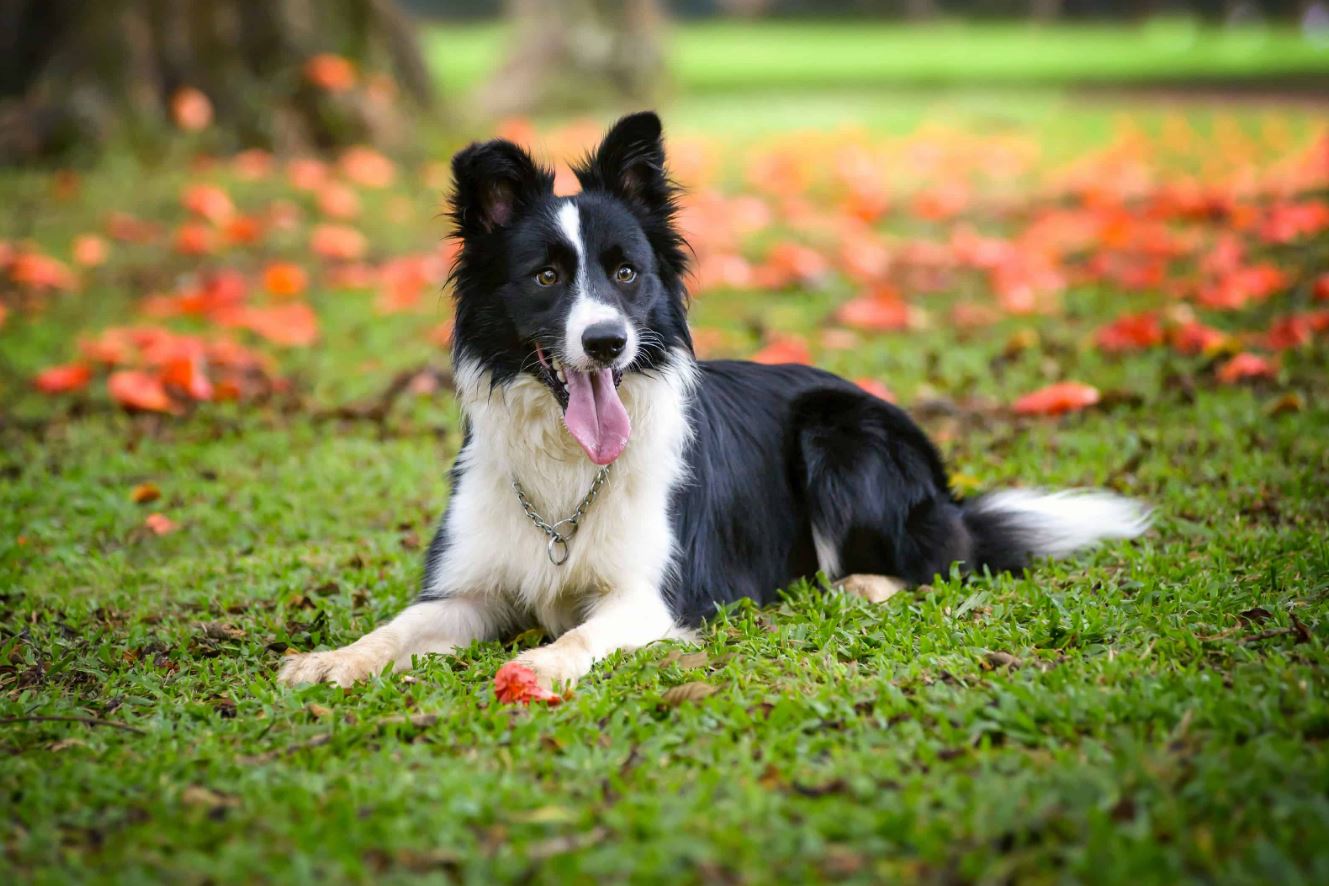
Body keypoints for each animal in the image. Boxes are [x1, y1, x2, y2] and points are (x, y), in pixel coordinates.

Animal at [275, 110, 1148, 690]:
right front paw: (329, 660)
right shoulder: (467, 590)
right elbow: (398, 626)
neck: (565, 471)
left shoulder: (652, 596)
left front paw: (539, 666)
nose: (606, 344)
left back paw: (861, 585)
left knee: (941, 559)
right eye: (546, 276)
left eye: (627, 272)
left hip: (840, 435)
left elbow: (578, 638)